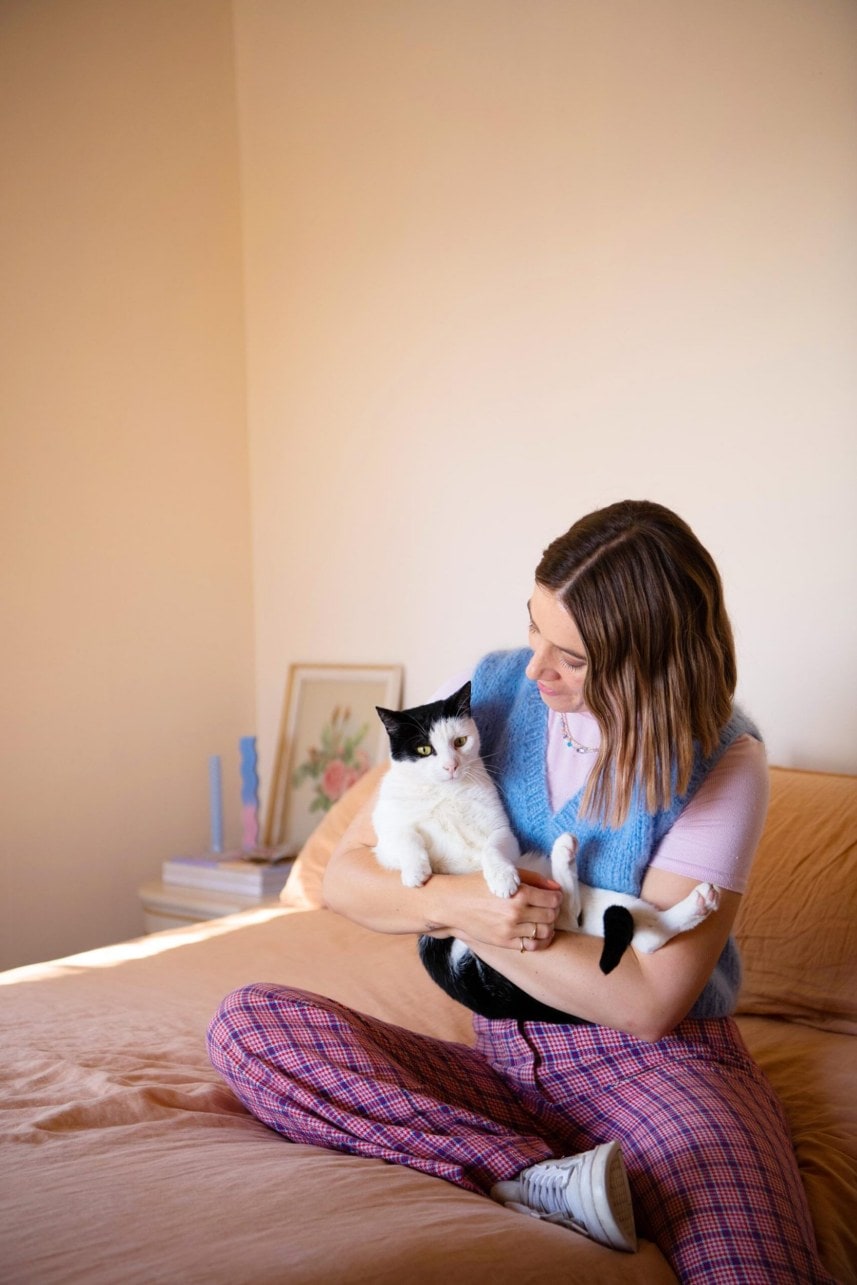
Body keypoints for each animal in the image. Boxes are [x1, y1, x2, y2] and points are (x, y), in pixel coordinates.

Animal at [375, 683, 724, 1022]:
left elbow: (493, 849)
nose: (451, 765)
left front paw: (502, 878)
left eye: (460, 741)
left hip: (602, 902)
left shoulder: (503, 834)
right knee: (623, 933)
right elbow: (405, 837)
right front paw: (416, 872)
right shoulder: (385, 839)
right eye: (424, 749)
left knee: (627, 933)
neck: (449, 793)